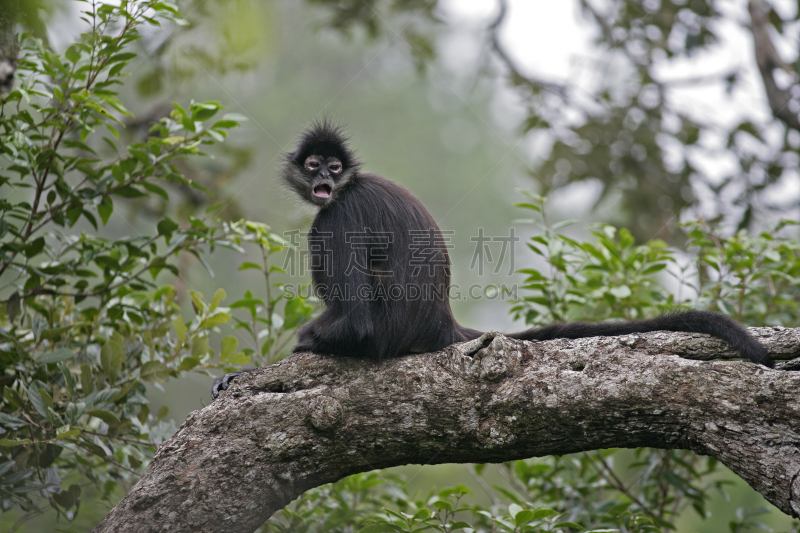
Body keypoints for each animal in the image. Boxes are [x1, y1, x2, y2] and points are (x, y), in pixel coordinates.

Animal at [211, 118, 768, 396]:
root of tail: (439, 323)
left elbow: (356, 325)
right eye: (312, 165)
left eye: (332, 166)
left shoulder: (337, 216)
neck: (347, 188)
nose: (324, 178)